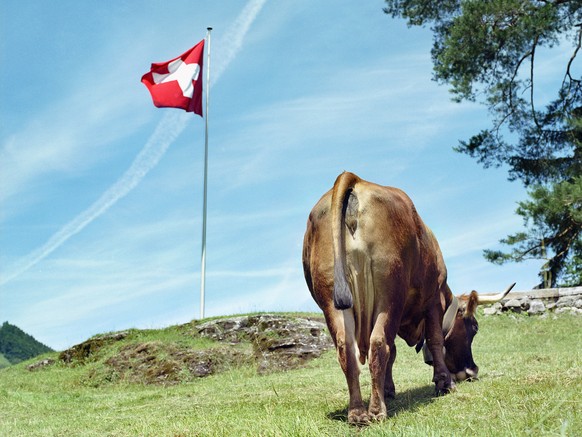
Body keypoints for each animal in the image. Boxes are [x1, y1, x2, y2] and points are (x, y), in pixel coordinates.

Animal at [304, 172, 512, 424]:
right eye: (474, 328)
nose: (472, 371)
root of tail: (354, 179)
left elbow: (394, 352)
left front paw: (388, 389)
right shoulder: (432, 301)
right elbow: (434, 340)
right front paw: (444, 383)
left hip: (331, 298)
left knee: (347, 349)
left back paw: (357, 413)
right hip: (390, 292)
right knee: (378, 343)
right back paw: (376, 411)